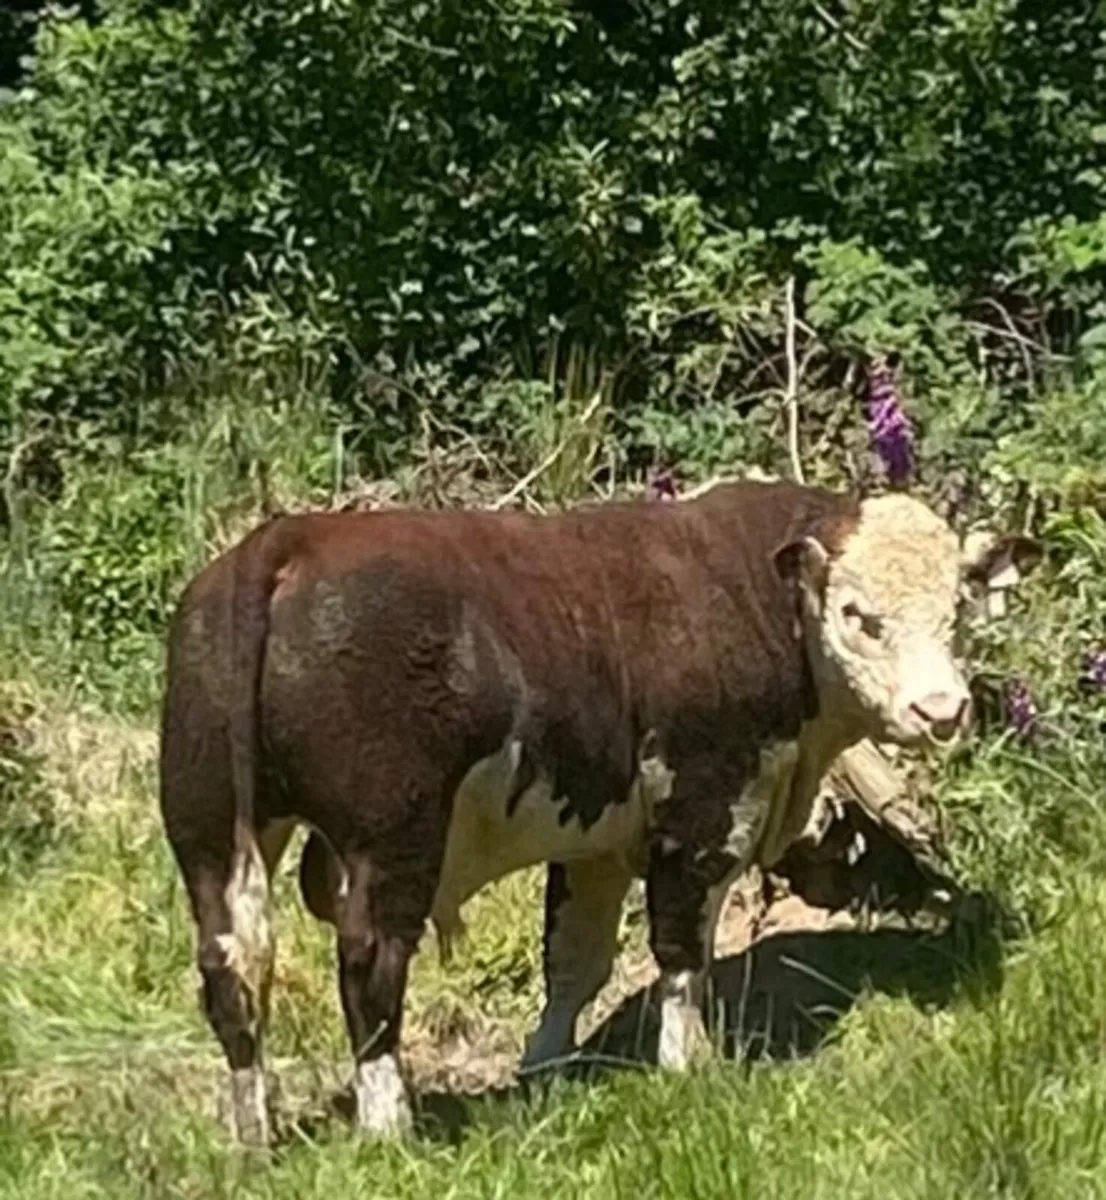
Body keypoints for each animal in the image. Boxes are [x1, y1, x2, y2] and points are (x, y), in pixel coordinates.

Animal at [158, 480, 1039, 1146]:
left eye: (958, 609)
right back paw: (390, 1124)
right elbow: (680, 950)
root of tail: (285, 542)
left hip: (209, 828)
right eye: (859, 615)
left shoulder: (598, 840)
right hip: (392, 836)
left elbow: (575, 958)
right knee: (368, 964)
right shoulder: (705, 808)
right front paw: (690, 1064)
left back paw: (254, 1134)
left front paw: (543, 1068)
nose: (943, 709)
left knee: (231, 966)